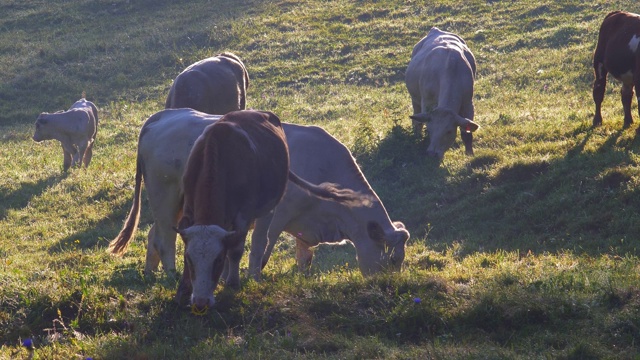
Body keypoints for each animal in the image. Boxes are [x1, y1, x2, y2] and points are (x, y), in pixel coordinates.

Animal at [174, 110, 370, 312]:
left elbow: (235, 251)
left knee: (259, 240)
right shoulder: (189, 209)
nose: (200, 303)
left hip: (269, 209)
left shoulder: (243, 216)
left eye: (218, 260)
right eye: (189, 259)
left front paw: (232, 284)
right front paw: (183, 290)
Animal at [248, 125, 408, 280]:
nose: (393, 281)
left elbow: (304, 261)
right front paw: (252, 280)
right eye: (393, 259)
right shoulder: (277, 218)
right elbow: (261, 251)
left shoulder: (305, 229)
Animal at [408, 26, 478, 159]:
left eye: (449, 131)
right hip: (415, 100)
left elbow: (467, 134)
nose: (432, 153)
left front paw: (469, 155)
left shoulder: (468, 104)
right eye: (430, 130)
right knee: (416, 121)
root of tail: (436, 30)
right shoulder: (427, 102)